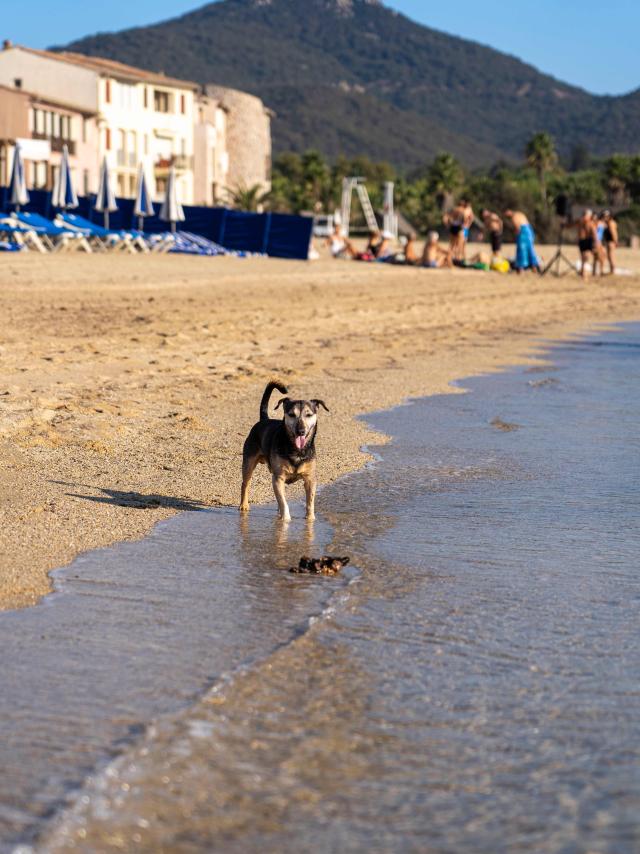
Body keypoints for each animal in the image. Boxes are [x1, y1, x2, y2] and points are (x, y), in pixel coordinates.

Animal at [240, 382, 330, 520]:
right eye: (291, 414)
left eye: (309, 415)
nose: (301, 431)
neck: (296, 450)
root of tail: (263, 420)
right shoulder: (278, 478)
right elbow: (283, 501)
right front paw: (286, 519)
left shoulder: (310, 479)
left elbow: (310, 501)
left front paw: (310, 519)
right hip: (248, 461)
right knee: (245, 483)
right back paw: (243, 505)